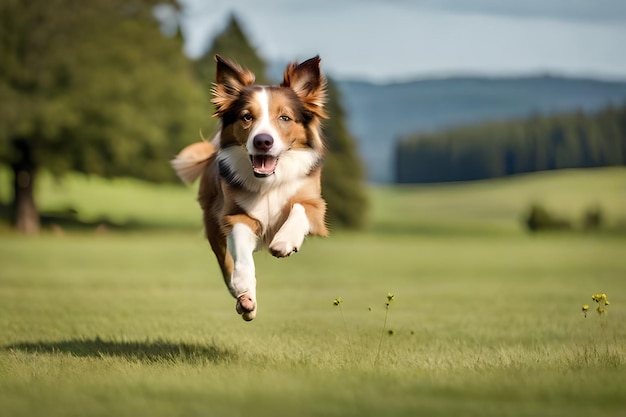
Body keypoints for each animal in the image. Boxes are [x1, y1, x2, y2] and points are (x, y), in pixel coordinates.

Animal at [169, 55, 326, 320]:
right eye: (246, 117)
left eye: (284, 118)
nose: (263, 141)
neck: (268, 181)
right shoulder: (234, 215)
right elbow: (241, 254)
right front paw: (243, 285)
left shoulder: (316, 204)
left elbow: (300, 208)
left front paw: (284, 241)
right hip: (213, 226)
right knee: (226, 266)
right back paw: (245, 300)